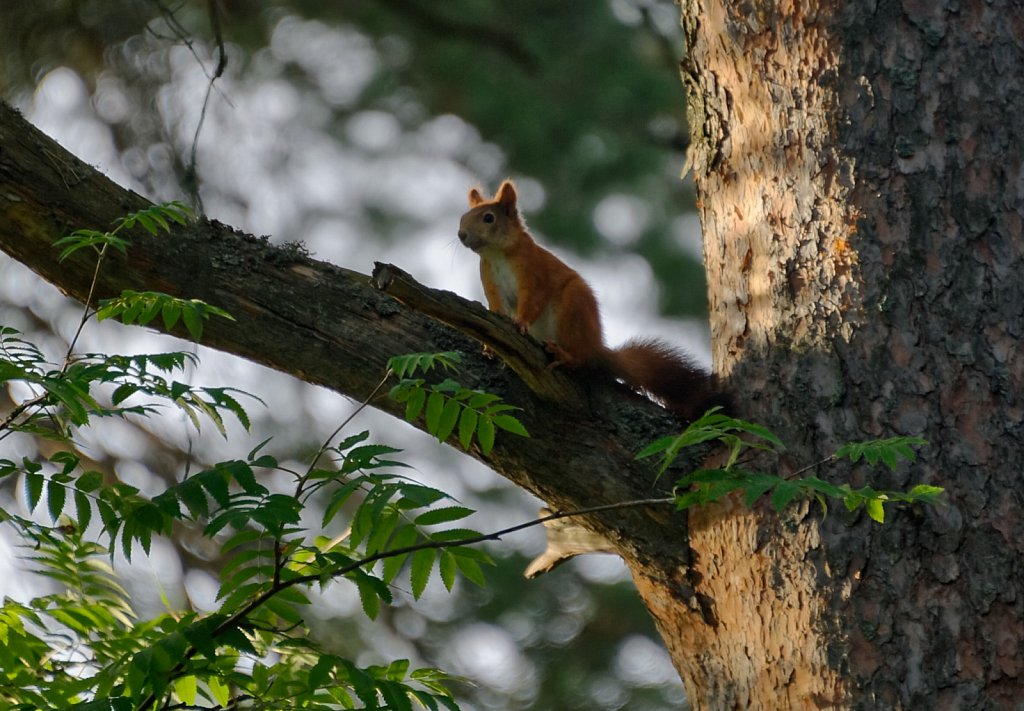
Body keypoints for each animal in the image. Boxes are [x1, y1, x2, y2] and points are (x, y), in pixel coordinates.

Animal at [456, 179, 729, 424]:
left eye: (488, 218)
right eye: (463, 216)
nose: (461, 234)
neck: (498, 254)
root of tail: (595, 346)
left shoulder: (534, 273)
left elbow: (533, 299)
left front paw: (520, 323)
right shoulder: (491, 281)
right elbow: (495, 307)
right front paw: (490, 345)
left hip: (572, 309)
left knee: (581, 359)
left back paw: (565, 356)